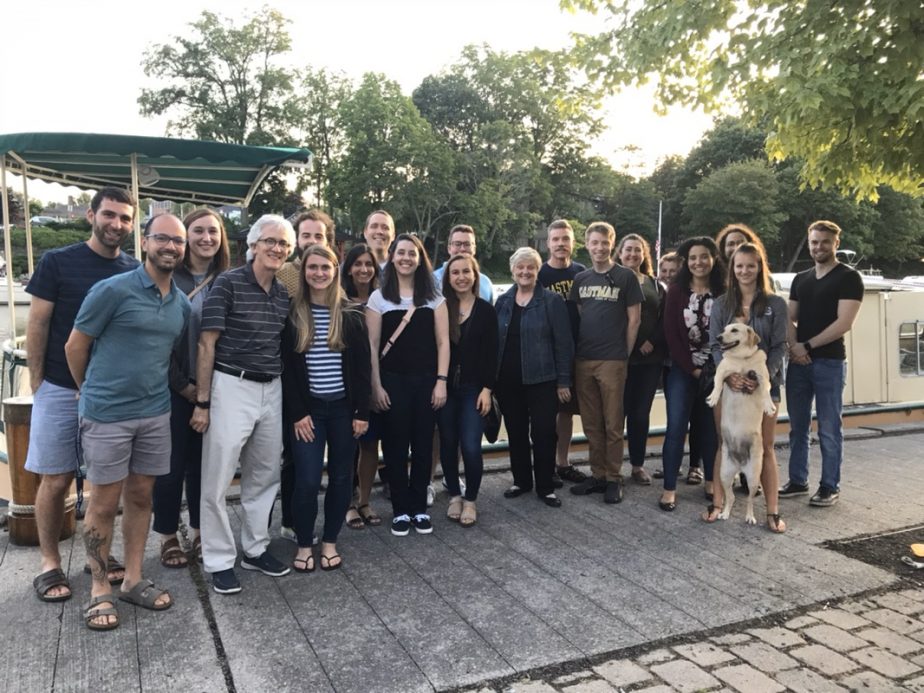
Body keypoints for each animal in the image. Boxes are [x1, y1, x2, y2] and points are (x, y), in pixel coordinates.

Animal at [712, 324, 776, 524]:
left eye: (734, 330)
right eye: (724, 329)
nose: (718, 337)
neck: (742, 359)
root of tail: (740, 465)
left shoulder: (762, 376)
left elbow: (765, 390)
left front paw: (768, 406)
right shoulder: (723, 371)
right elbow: (718, 382)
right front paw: (713, 397)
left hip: (754, 477)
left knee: (749, 500)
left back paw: (749, 517)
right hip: (724, 474)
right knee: (730, 497)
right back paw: (724, 513)